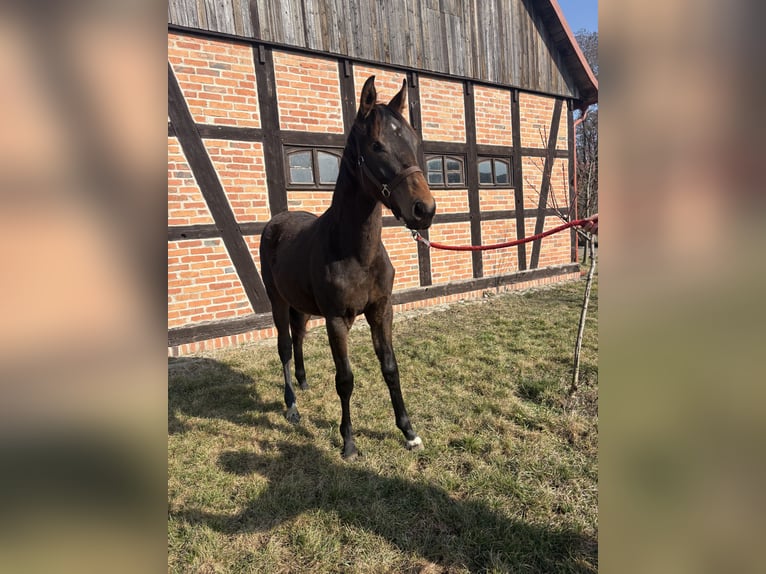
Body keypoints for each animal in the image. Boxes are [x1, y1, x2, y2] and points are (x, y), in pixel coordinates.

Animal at [259, 75, 436, 459]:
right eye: (377, 145)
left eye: (414, 141)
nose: (424, 210)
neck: (357, 253)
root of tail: (276, 221)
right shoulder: (337, 320)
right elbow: (345, 379)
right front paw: (349, 442)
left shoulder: (381, 310)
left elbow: (390, 368)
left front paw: (408, 432)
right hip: (277, 302)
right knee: (284, 345)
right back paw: (291, 405)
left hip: (301, 306)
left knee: (298, 336)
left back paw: (304, 382)